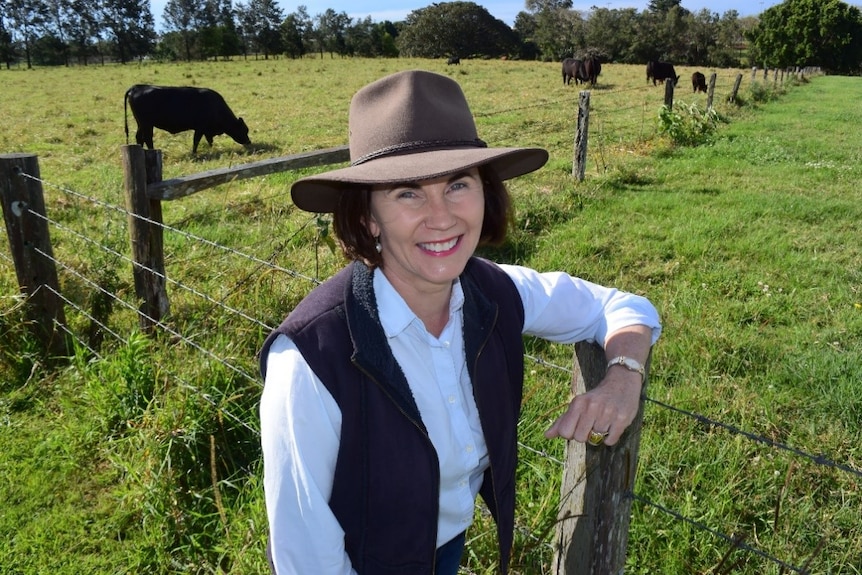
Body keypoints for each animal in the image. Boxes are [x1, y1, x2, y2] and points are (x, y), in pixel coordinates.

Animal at [125, 84, 253, 154]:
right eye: (244, 130)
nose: (249, 142)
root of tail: (137, 87)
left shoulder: (206, 130)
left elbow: (209, 140)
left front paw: (212, 149)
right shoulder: (200, 128)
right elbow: (196, 141)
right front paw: (194, 152)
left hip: (140, 124)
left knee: (139, 138)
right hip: (147, 124)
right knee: (147, 138)